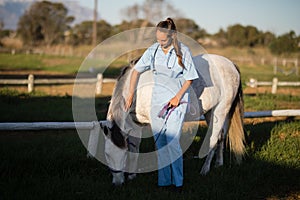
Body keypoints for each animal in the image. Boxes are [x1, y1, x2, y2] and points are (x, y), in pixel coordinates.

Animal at [99, 53, 245, 186]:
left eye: (123, 156)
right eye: (107, 155)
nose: (117, 183)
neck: (138, 89)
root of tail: (232, 65)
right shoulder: (136, 124)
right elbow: (134, 148)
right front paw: (132, 176)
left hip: (220, 111)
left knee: (213, 139)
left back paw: (205, 170)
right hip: (211, 114)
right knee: (221, 136)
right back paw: (218, 164)